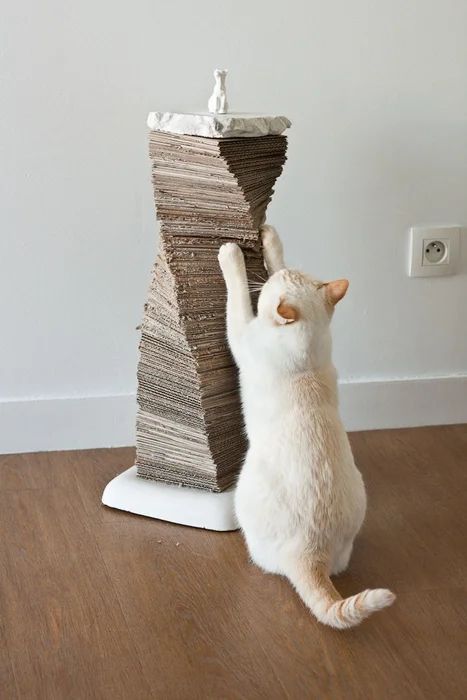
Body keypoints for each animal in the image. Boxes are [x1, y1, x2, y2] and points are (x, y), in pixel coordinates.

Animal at [218, 226, 394, 628]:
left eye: (270, 287)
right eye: (281, 277)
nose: (268, 279)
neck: (308, 355)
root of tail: (312, 551)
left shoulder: (242, 335)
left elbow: (237, 297)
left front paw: (231, 254)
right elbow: (276, 254)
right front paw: (269, 239)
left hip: (243, 492)